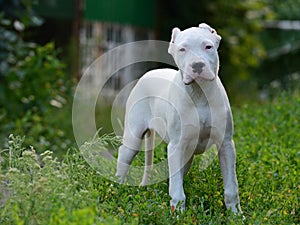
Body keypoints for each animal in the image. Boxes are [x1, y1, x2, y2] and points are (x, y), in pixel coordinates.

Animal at [116, 23, 243, 214]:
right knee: (124, 155)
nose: (197, 65)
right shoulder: (176, 146)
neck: (199, 93)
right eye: (182, 49)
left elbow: (231, 187)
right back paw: (117, 186)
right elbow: (176, 188)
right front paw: (178, 214)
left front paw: (235, 214)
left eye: (208, 47)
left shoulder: (226, 144)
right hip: (134, 135)